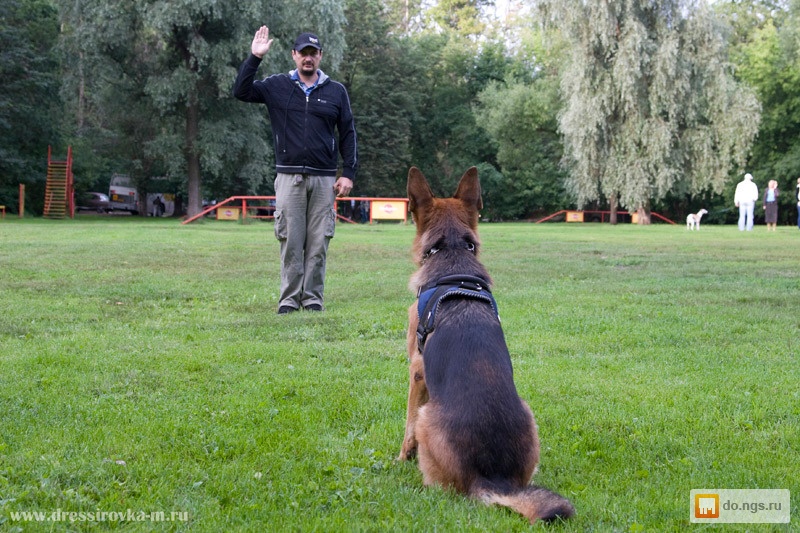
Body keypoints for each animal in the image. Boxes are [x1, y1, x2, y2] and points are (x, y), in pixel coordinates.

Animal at [400, 167, 576, 524]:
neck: (452, 251)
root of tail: (492, 479)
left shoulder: (416, 370)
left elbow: (406, 423)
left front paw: (401, 457)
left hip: (428, 418)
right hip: (529, 413)